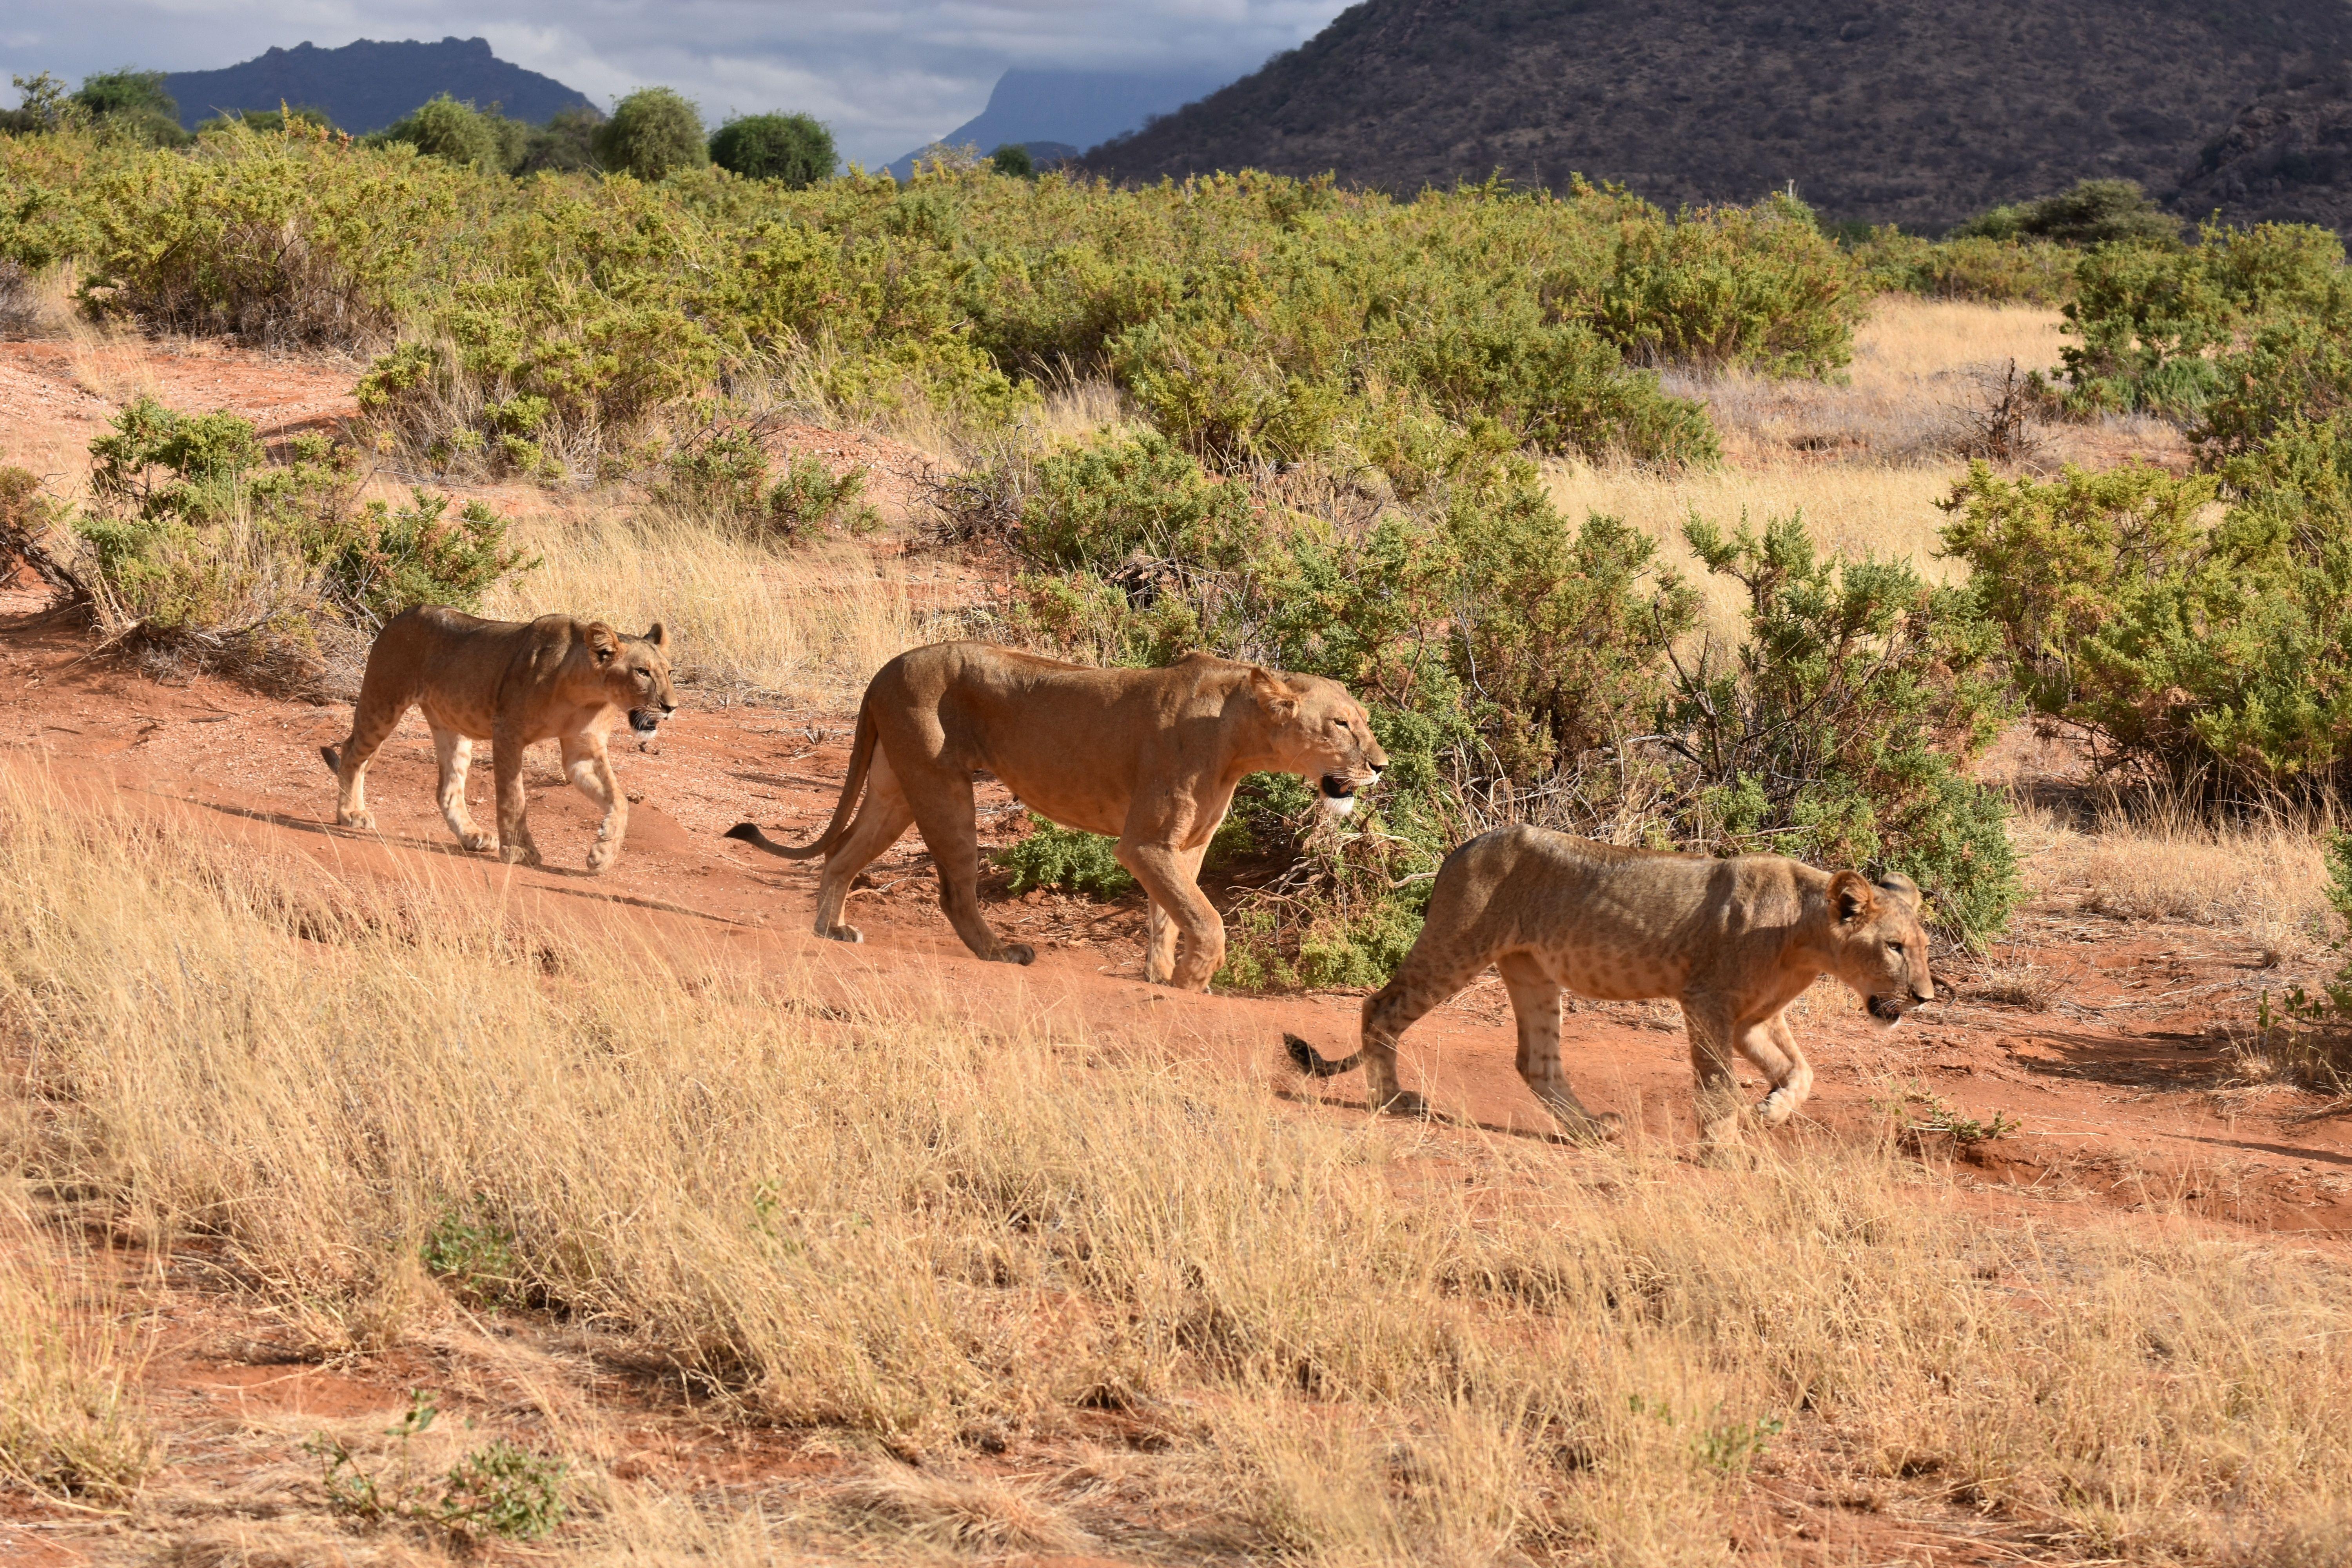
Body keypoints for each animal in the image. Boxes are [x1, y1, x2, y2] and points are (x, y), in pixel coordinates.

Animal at [320, 606, 682, 879]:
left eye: (668, 672)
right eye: (642, 672)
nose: (671, 707)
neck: (587, 692)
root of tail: (401, 615)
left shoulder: (583, 750)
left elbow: (618, 800)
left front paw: (603, 853)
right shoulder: (508, 732)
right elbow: (514, 797)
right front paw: (520, 850)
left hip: (452, 725)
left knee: (447, 789)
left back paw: (472, 836)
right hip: (383, 703)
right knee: (351, 752)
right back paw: (351, 814)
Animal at [724, 639, 1383, 987]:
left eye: (1366, 721)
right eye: (1341, 724)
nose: (1380, 765)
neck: (1237, 737)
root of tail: (887, 667)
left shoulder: (1185, 846)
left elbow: (1170, 915)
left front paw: (1160, 976)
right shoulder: (1145, 844)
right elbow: (1206, 916)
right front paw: (1195, 980)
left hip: (895, 792)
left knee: (840, 855)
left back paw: (830, 930)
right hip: (941, 786)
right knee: (954, 891)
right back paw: (1001, 953)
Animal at [1289, 827, 1929, 1147]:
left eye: (1922, 946)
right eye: (1895, 946)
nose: (1924, 996)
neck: (1805, 937)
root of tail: (1462, 848)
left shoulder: (1755, 1019)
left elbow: (1802, 1072)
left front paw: (1769, 1112)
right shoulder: (1707, 1001)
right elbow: (1718, 1082)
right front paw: (1723, 1145)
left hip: (1532, 972)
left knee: (1536, 1062)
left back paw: (1592, 1131)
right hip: (1457, 946)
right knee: (1381, 1006)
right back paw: (1393, 1099)